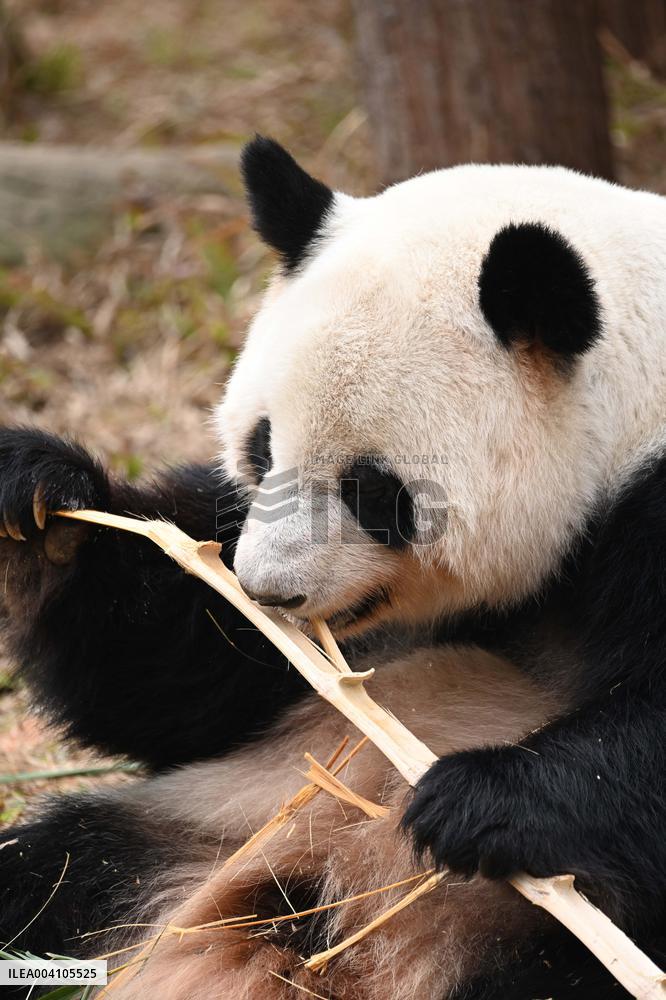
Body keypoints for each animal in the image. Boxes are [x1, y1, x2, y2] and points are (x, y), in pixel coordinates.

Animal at [0, 136, 665, 1000]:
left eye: (374, 489)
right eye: (261, 446)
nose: (265, 590)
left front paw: (478, 801)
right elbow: (168, 676)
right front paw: (41, 503)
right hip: (197, 828)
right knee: (52, 869)